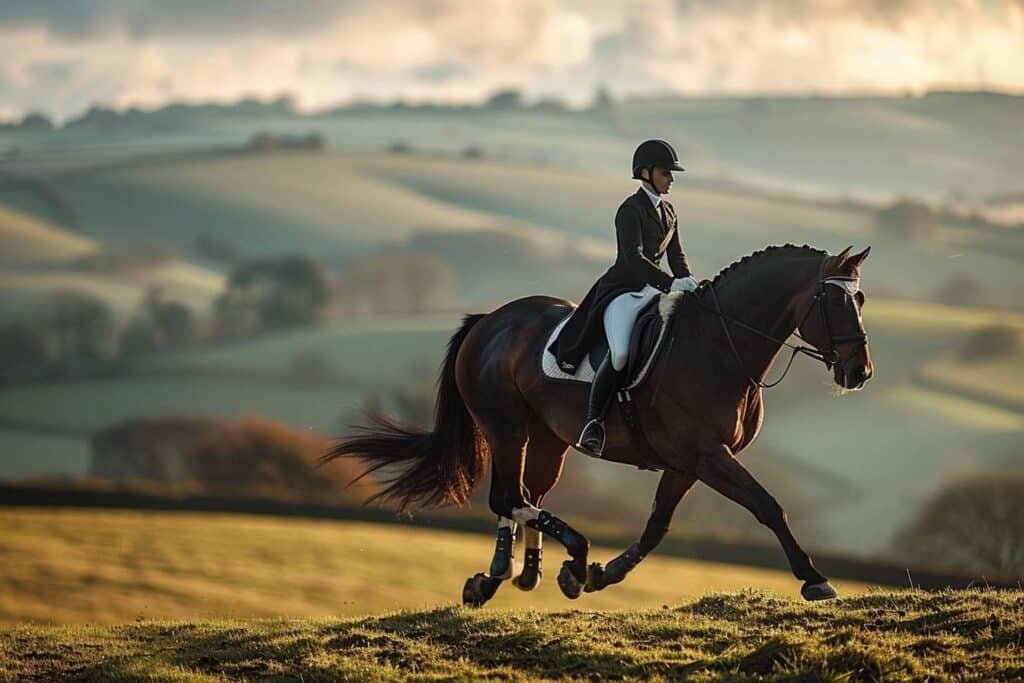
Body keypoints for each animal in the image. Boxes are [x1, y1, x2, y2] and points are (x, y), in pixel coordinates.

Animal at [325, 242, 872, 606]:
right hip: (505, 427)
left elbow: (655, 528)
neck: (720, 344)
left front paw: (602, 576)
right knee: (507, 496)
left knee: (524, 495)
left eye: (861, 301)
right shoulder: (707, 455)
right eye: (835, 301)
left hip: (547, 439)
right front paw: (814, 578)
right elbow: (768, 506)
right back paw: (563, 555)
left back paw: (509, 575)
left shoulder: (687, 463)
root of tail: (489, 320)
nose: (859, 372)